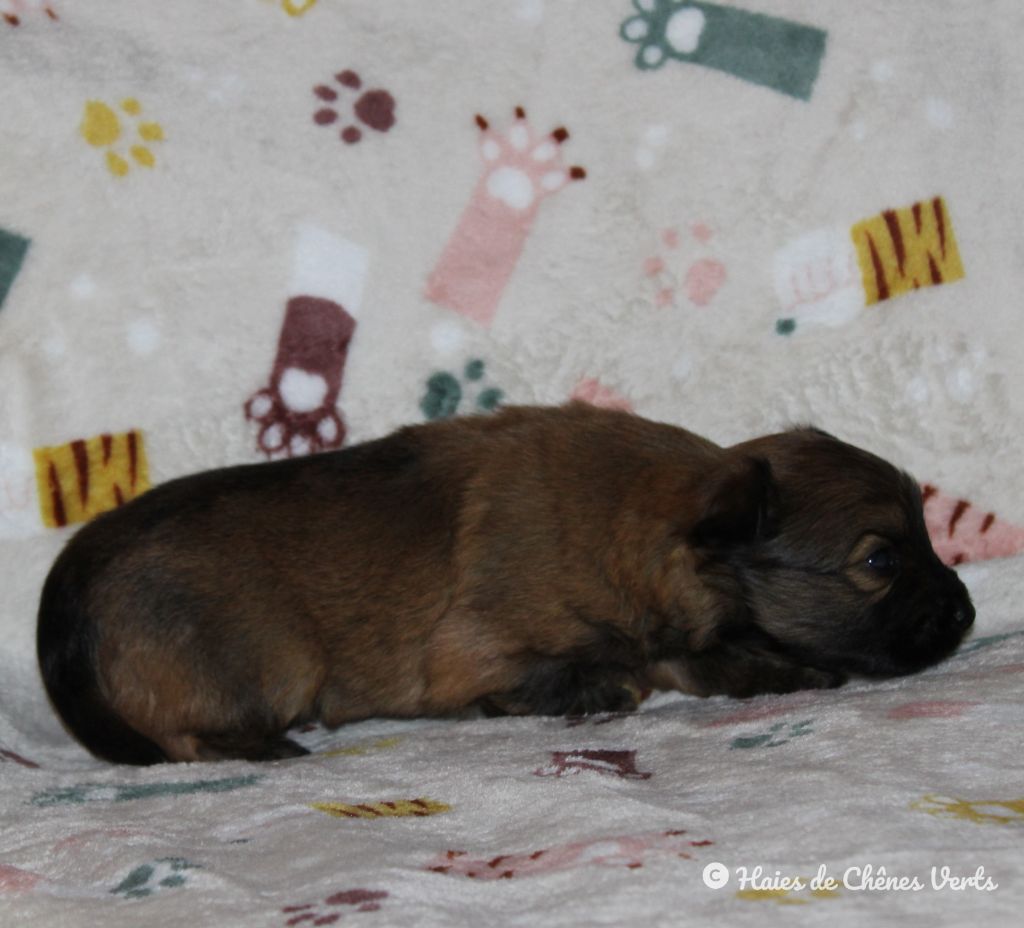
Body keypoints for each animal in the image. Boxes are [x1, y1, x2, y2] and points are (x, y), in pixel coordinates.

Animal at [36, 403, 970, 757]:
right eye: (881, 561)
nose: (966, 614)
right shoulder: (477, 650)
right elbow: (601, 678)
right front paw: (593, 690)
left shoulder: (682, 634)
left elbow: (707, 660)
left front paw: (784, 667)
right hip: (277, 658)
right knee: (185, 736)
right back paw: (266, 744)